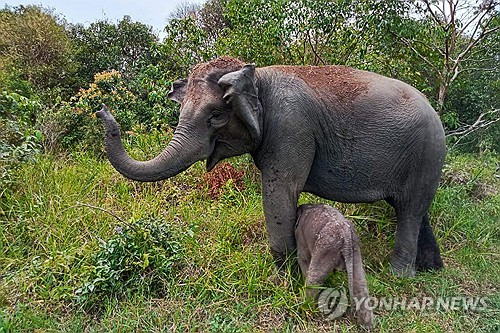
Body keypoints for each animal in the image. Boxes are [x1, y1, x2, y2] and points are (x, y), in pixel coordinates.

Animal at [96, 56, 446, 274]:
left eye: (216, 116)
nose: (101, 109)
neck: (256, 75)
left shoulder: (291, 128)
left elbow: (281, 192)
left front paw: (283, 278)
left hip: (426, 153)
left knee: (410, 209)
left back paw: (398, 275)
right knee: (414, 208)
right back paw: (430, 269)